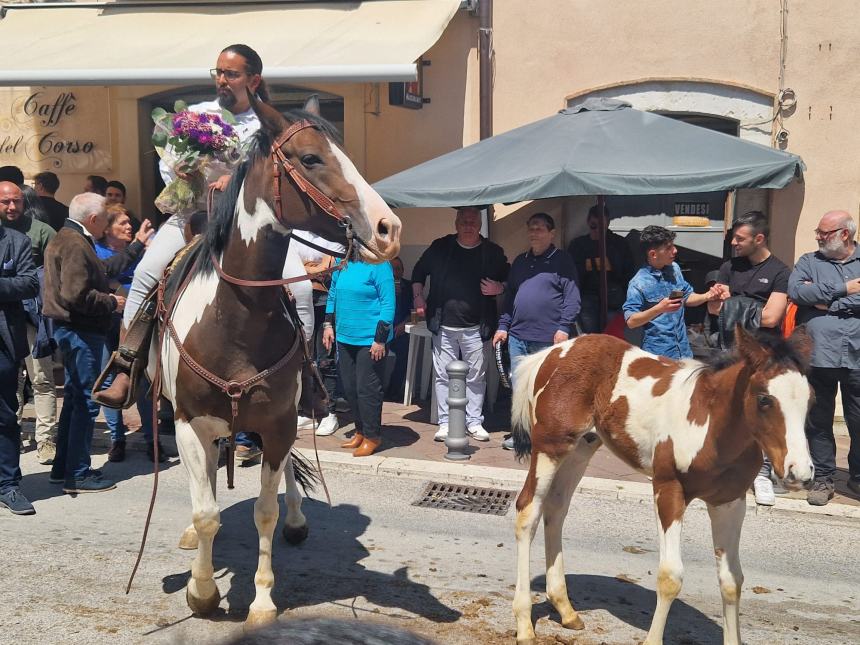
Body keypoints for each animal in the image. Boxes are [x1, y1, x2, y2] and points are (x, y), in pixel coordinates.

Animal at [150, 94, 400, 624]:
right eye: (310, 158)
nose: (389, 229)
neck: (236, 320)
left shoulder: (280, 421)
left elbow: (264, 510)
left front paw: (262, 600)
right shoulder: (187, 422)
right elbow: (206, 510)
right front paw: (202, 591)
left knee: (279, 475)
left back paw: (297, 519)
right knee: (206, 482)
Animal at [510, 330, 812, 640]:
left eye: (810, 400)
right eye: (765, 400)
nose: (800, 472)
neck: (710, 426)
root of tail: (551, 352)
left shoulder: (729, 501)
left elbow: (732, 579)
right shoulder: (668, 489)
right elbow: (670, 577)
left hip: (582, 447)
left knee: (556, 509)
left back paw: (566, 609)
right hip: (550, 446)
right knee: (528, 511)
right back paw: (524, 624)